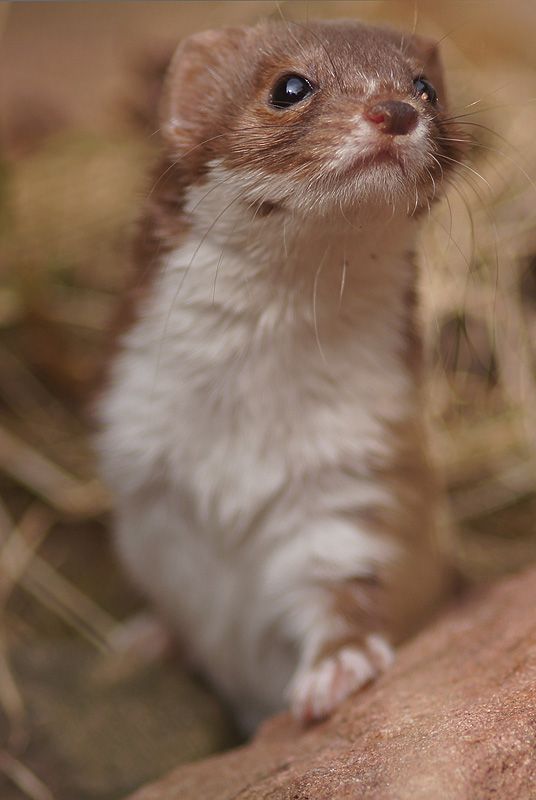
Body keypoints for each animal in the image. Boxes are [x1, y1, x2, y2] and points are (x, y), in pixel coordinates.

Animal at [98, 17, 466, 732]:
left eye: (425, 86)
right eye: (289, 86)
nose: (395, 110)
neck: (244, 417)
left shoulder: (355, 476)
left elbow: (344, 588)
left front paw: (338, 667)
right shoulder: (145, 484)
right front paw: (150, 638)